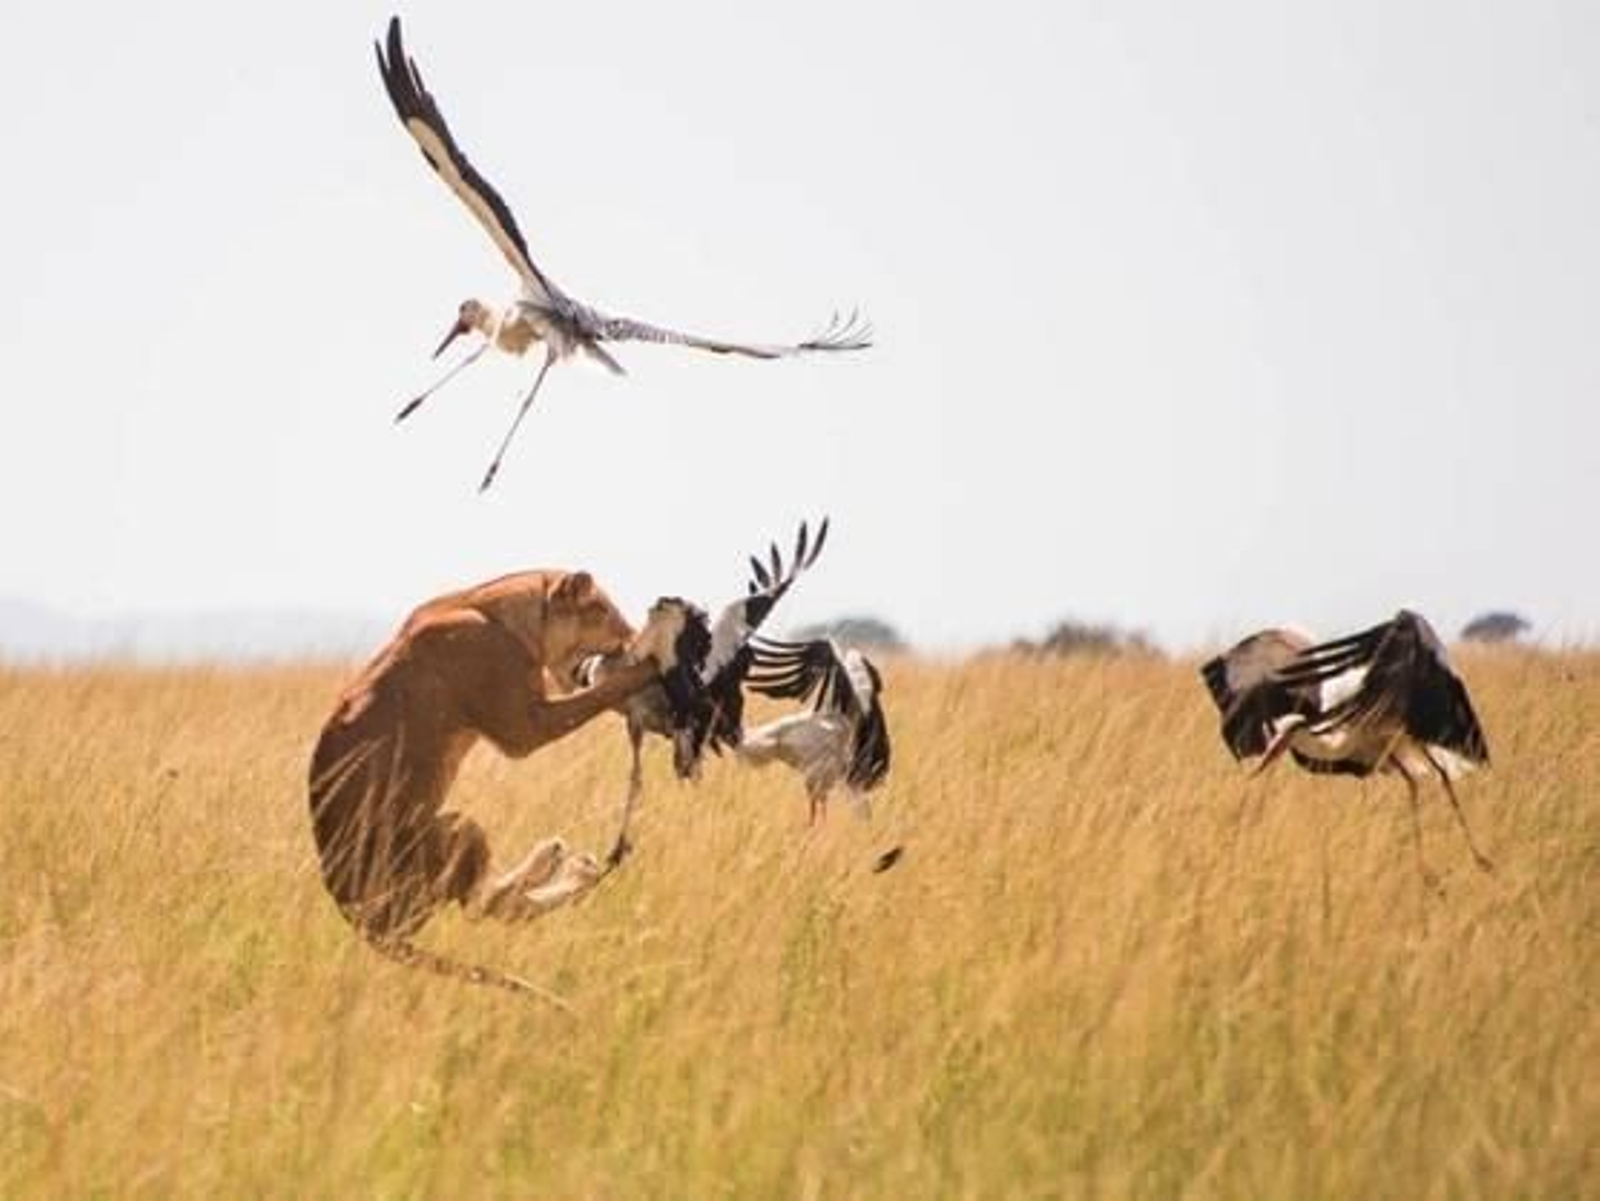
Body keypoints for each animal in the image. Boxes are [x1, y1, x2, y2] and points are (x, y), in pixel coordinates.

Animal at [307, 568, 705, 998]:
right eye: (611, 618)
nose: (631, 639)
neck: (502, 611)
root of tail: (351, 912)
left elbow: (598, 693)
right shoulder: (525, 730)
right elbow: (600, 692)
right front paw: (655, 663)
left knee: (492, 904)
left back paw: (559, 861)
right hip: (456, 830)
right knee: (488, 908)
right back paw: (568, 868)